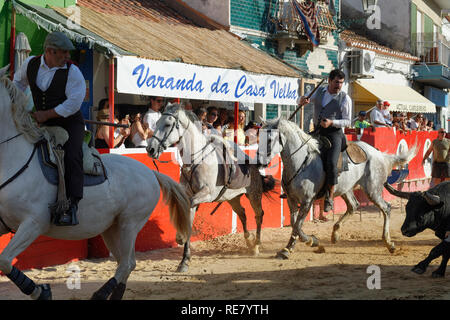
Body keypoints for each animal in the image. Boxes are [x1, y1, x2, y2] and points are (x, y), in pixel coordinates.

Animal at [0, 65, 192, 300]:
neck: (14, 158)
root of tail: (150, 172)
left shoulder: (33, 223)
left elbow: (4, 260)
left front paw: (41, 291)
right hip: (111, 228)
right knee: (125, 263)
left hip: (129, 223)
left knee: (127, 263)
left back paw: (99, 295)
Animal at [148, 104, 274, 270]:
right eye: (156, 123)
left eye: (168, 124)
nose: (150, 149)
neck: (195, 159)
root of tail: (253, 165)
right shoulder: (189, 195)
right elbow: (188, 217)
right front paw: (184, 259)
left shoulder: (206, 194)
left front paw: (180, 238)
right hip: (233, 198)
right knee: (242, 214)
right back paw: (249, 241)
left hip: (254, 194)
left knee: (259, 215)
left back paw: (256, 246)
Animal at [255, 119, 416, 258]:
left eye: (269, 139)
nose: (258, 161)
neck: (301, 162)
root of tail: (379, 154)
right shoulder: (291, 200)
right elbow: (295, 224)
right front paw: (289, 248)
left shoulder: (307, 200)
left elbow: (298, 226)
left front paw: (311, 241)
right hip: (346, 189)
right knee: (353, 205)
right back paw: (335, 234)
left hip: (373, 190)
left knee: (386, 208)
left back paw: (389, 244)